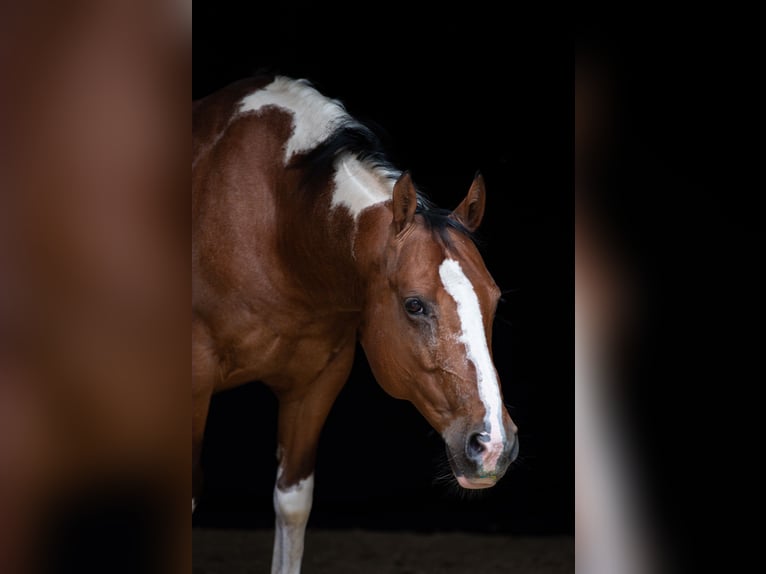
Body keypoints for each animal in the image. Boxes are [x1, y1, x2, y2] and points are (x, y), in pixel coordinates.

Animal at [192, 76, 520, 574]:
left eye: (495, 300)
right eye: (414, 305)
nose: (493, 446)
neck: (278, 228)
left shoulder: (316, 385)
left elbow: (292, 504)